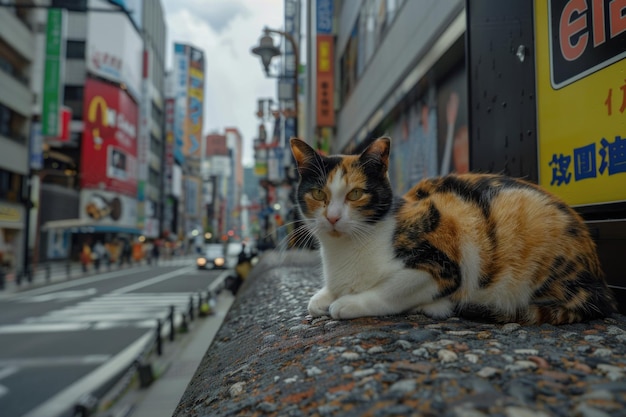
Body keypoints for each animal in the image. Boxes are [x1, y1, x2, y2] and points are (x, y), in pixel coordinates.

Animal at [290, 136, 616, 324]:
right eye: (319, 194)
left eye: (356, 194)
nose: (332, 217)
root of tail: (600, 282)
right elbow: (317, 300)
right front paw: (324, 297)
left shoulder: (441, 262)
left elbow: (388, 292)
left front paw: (348, 303)